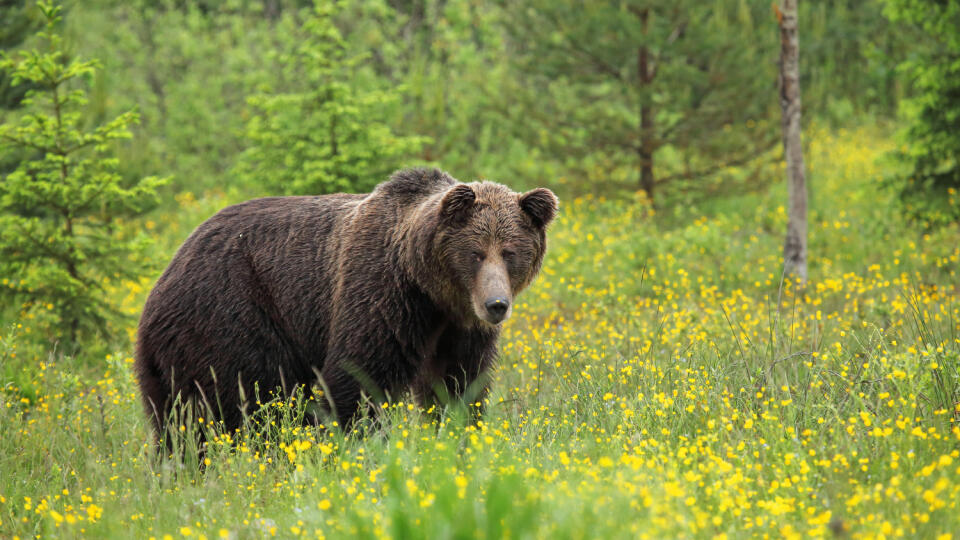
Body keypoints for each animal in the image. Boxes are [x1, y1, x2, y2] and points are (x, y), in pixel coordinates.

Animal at [133, 169, 556, 438]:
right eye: (475, 253)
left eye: (510, 252)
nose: (496, 305)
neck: (430, 290)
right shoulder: (380, 294)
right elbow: (360, 376)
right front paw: (358, 442)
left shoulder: (457, 328)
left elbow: (458, 383)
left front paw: (457, 433)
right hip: (232, 314)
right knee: (243, 402)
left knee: (175, 421)